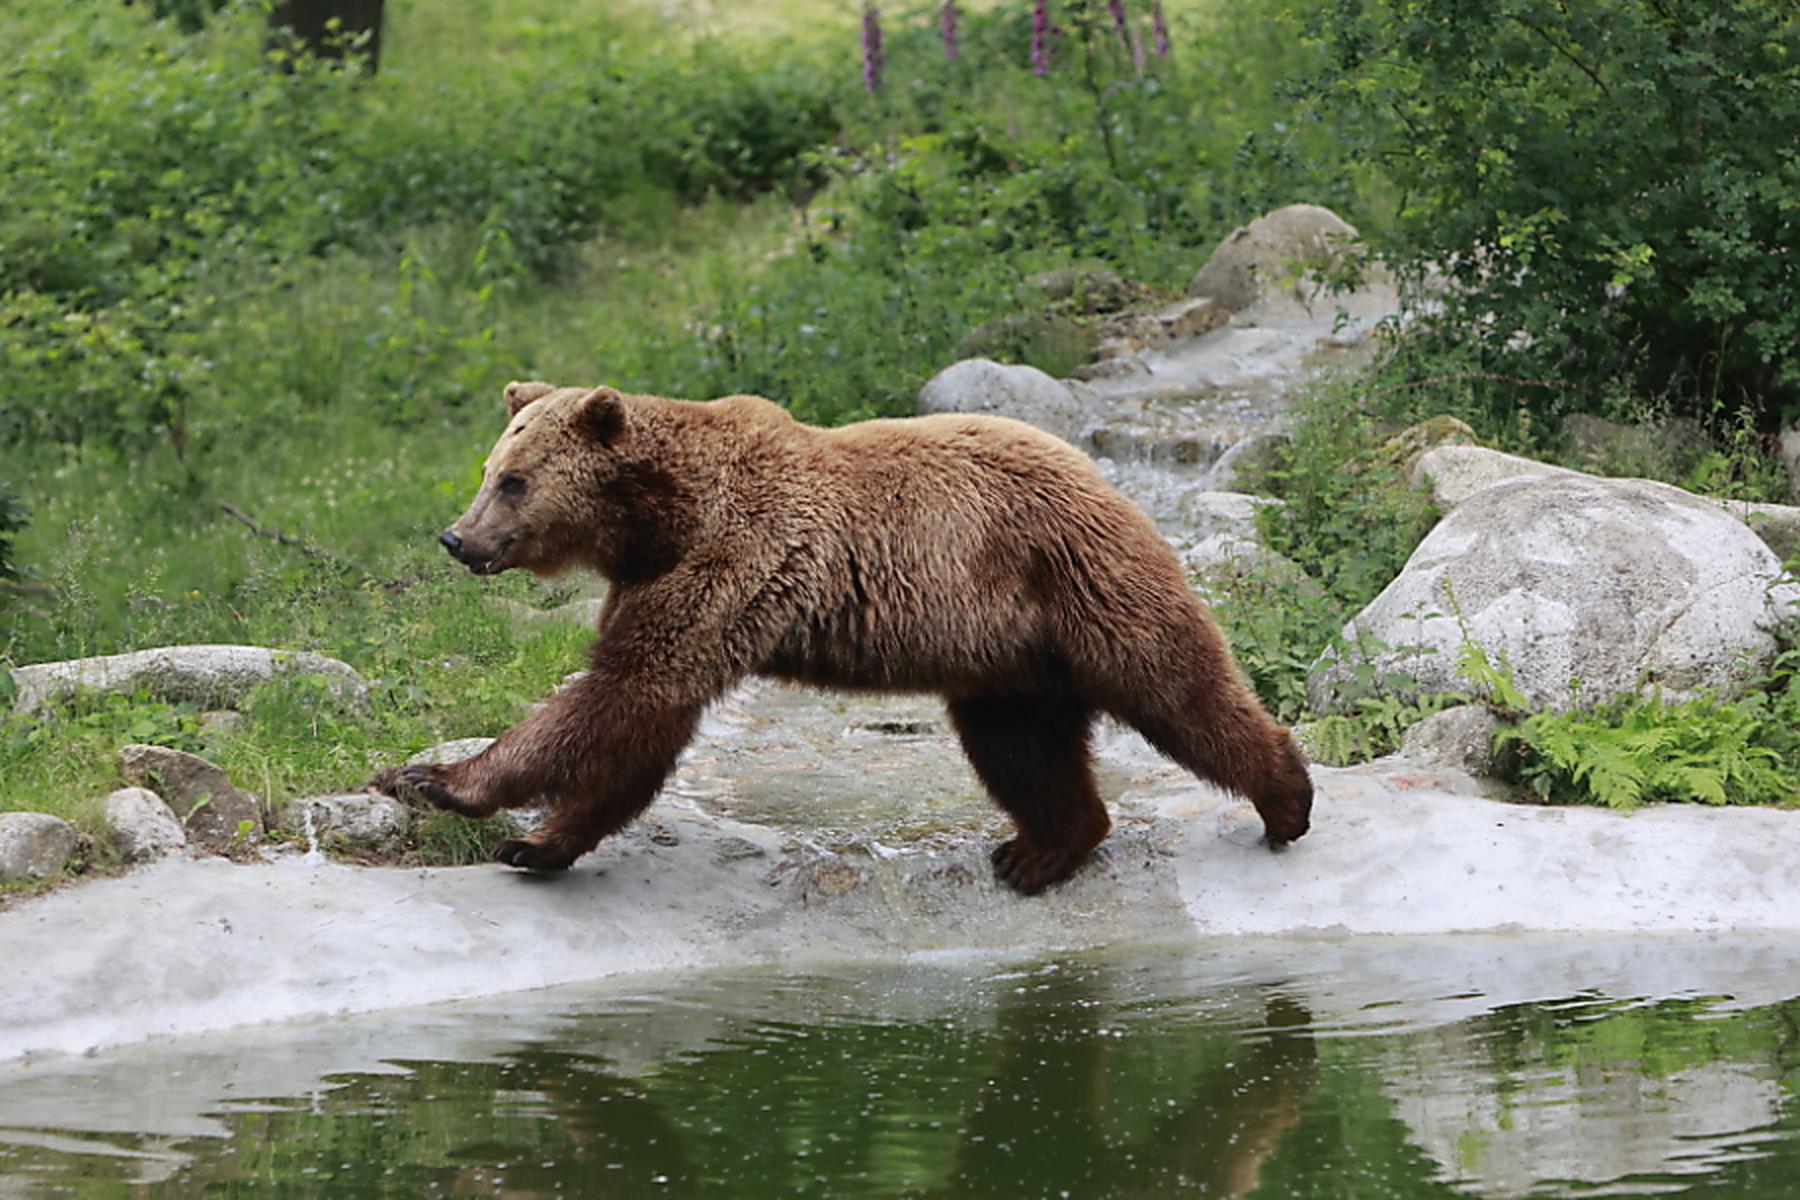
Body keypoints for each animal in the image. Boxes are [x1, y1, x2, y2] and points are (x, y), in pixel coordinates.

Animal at [372, 383, 1317, 892]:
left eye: (514, 481)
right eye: (489, 471)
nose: (458, 537)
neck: (658, 518)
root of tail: (1105, 477)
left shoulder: (736, 555)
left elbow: (623, 697)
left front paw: (433, 780)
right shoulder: (654, 581)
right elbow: (637, 724)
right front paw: (535, 842)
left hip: (1074, 578)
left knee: (1174, 683)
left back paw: (1286, 797)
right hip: (1009, 658)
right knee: (1020, 746)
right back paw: (1042, 849)